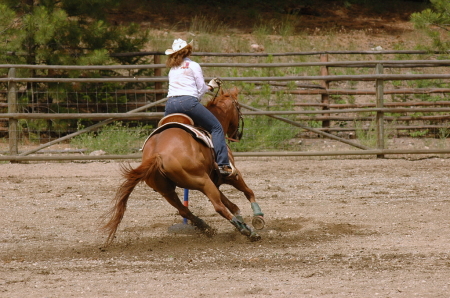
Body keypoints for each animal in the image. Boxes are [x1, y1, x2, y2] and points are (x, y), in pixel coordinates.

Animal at [101, 86, 264, 244]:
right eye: (239, 108)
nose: (237, 135)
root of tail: (157, 154)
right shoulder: (231, 176)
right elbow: (248, 192)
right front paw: (258, 217)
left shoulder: (215, 182)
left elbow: (233, 205)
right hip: (202, 181)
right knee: (218, 207)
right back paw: (247, 232)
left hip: (168, 190)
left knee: (184, 210)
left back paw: (207, 227)